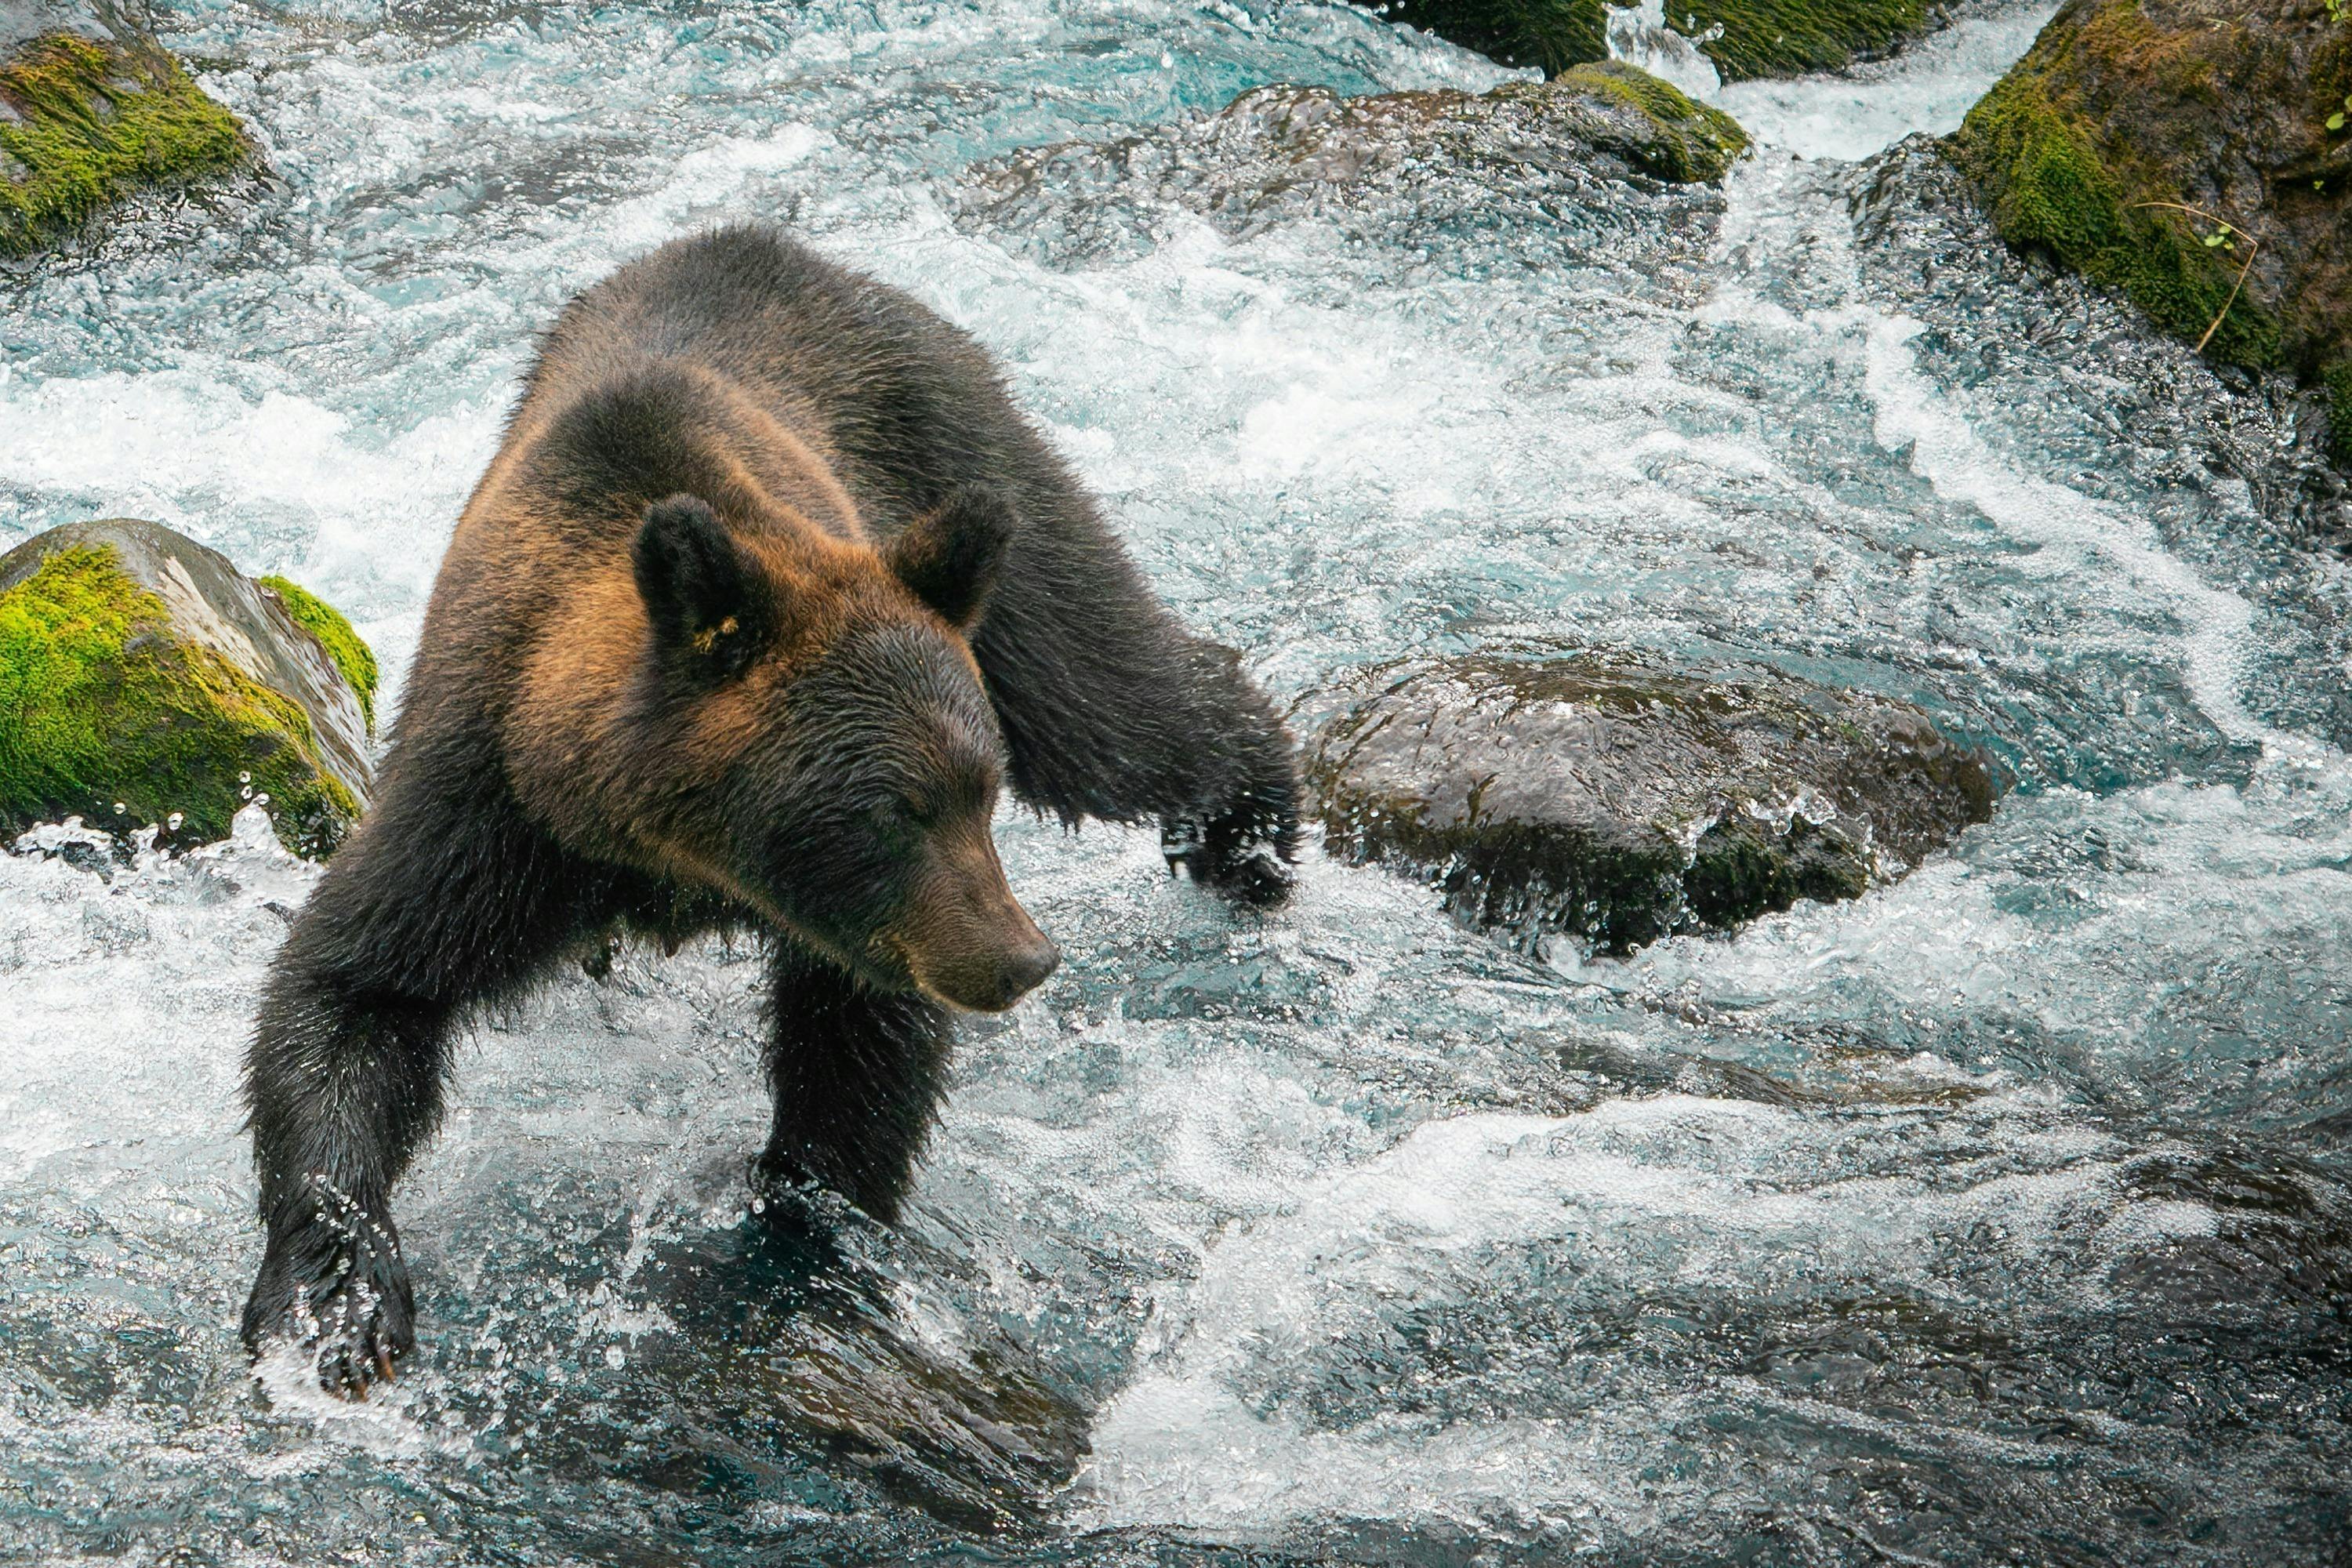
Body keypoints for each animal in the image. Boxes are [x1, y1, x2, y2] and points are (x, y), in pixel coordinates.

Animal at [243, 223, 1308, 1401]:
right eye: (898, 807)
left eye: (977, 791)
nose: (1021, 958)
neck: (663, 847)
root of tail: (796, 251)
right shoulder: (491, 814)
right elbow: (354, 987)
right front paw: (341, 1305)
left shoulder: (860, 925)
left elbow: (861, 1054)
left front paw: (809, 1227)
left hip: (960, 481)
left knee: (1105, 701)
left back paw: (1254, 836)